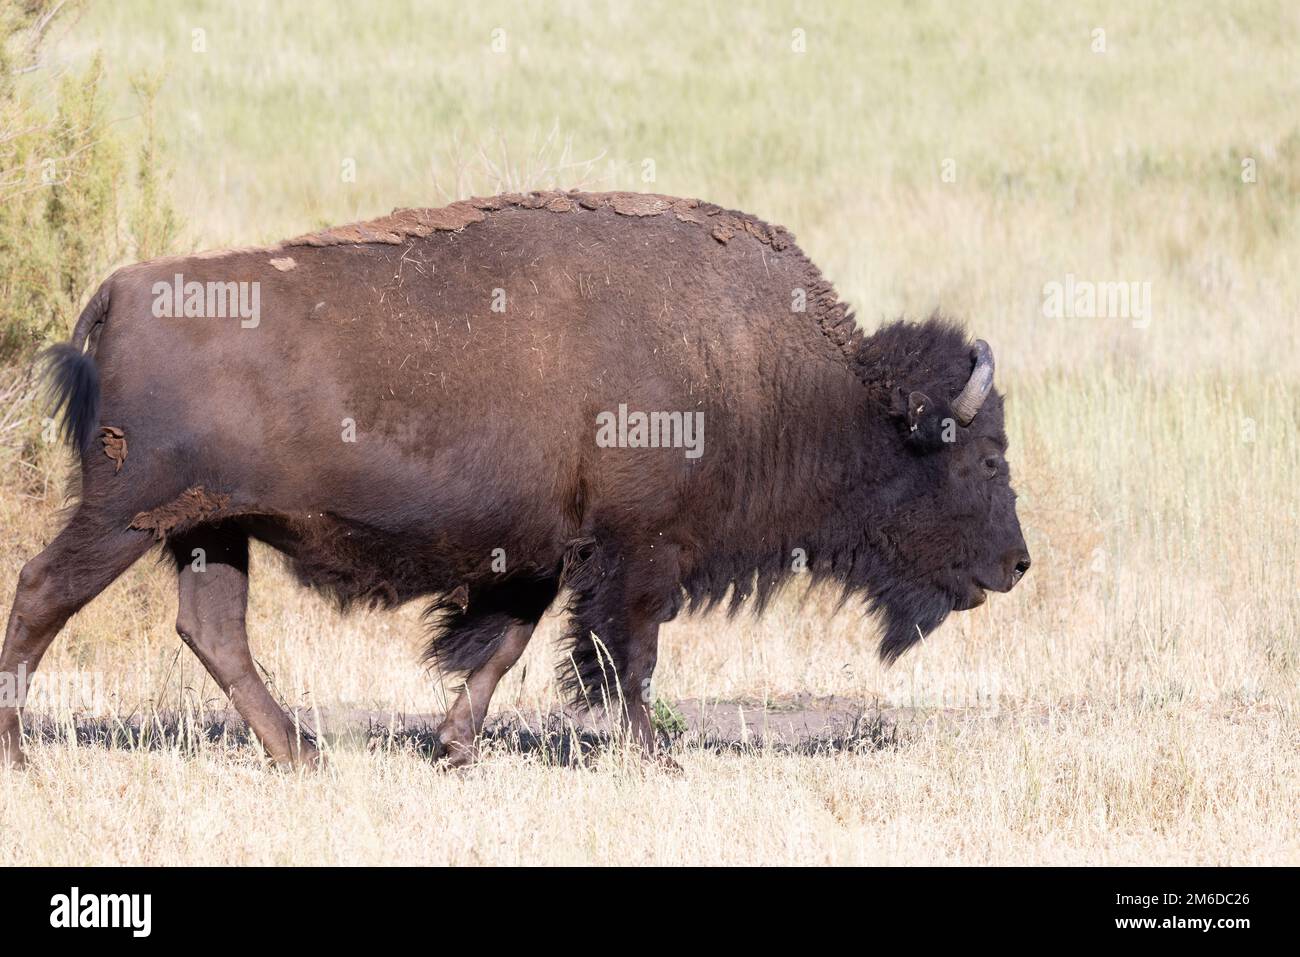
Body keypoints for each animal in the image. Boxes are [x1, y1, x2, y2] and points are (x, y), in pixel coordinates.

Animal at [5, 195, 1029, 769]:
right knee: (43, 592)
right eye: (984, 458)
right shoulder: (636, 552)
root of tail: (119, 292)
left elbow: (501, 648)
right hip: (124, 517)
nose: (1017, 564)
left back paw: (302, 755)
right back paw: (23, 754)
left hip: (207, 529)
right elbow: (625, 655)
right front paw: (657, 759)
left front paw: (454, 749)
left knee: (214, 631)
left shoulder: (541, 553)